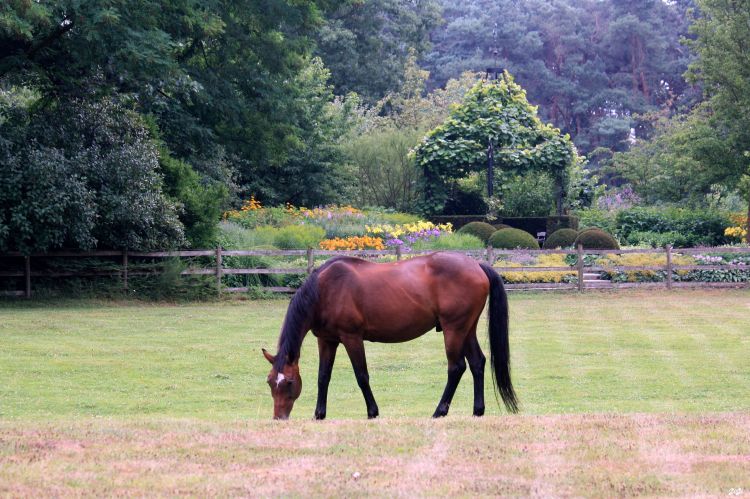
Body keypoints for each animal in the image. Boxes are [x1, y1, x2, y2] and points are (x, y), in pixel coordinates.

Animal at [262, 252, 516, 420]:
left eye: (290, 382)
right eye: (270, 382)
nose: (279, 418)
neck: (325, 289)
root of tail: (476, 264)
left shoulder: (352, 338)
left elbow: (361, 376)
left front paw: (372, 412)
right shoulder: (327, 340)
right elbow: (323, 376)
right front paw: (319, 415)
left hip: (454, 330)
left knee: (456, 368)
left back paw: (439, 411)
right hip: (466, 329)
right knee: (477, 363)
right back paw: (477, 411)